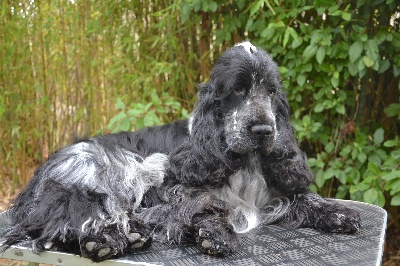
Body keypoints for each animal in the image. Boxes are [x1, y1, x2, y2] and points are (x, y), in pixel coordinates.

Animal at [0, 41, 362, 262]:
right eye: (238, 90)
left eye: (271, 92)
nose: (263, 130)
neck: (242, 163)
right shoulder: (172, 188)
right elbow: (201, 205)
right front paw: (214, 233)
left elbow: (302, 197)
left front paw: (338, 213)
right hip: (101, 173)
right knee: (64, 218)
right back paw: (102, 241)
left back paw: (133, 235)